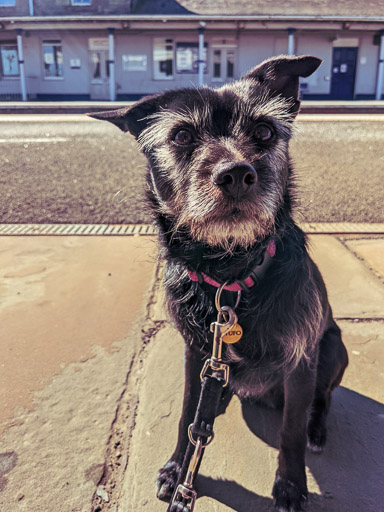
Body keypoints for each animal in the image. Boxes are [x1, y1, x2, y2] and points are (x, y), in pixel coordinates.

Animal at [92, 54, 348, 510]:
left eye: (264, 131)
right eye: (181, 135)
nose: (236, 174)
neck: (229, 277)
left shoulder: (301, 360)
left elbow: (290, 432)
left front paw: (290, 486)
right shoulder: (197, 353)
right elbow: (187, 415)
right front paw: (179, 468)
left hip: (335, 349)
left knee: (323, 399)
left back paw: (317, 428)